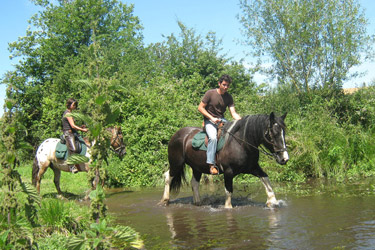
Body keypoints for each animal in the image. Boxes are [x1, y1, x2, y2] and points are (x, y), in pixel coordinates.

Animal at [160, 112, 290, 208]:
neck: (242, 143)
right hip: (176, 163)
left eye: (283, 133)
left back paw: (198, 203)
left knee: (194, 183)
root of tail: (177, 135)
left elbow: (266, 179)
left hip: (197, 167)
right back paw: (165, 200)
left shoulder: (253, 168)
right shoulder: (228, 172)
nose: (284, 158)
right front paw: (228, 208)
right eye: (273, 133)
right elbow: (228, 191)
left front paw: (272, 201)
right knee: (168, 177)